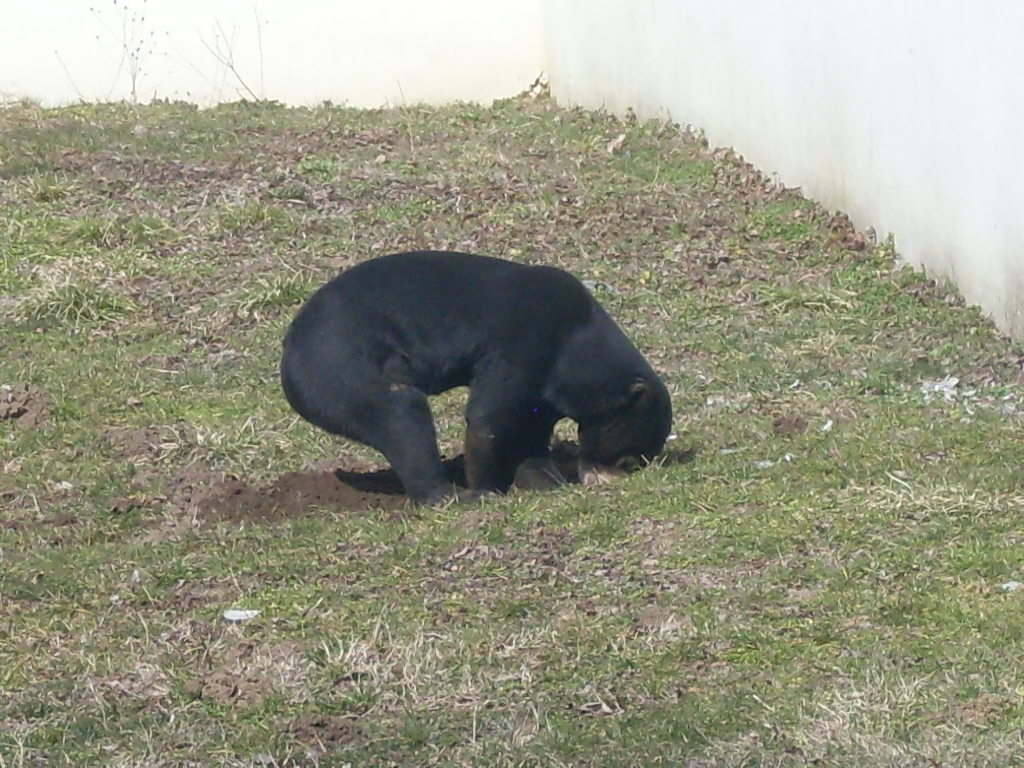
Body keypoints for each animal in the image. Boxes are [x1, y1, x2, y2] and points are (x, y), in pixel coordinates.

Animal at [280, 251, 672, 504]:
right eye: (628, 459)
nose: (606, 481)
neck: (577, 339)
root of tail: (288, 354)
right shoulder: (526, 343)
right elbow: (488, 418)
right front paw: (488, 489)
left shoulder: (542, 392)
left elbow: (528, 431)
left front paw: (544, 480)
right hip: (342, 371)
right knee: (402, 418)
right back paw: (449, 495)